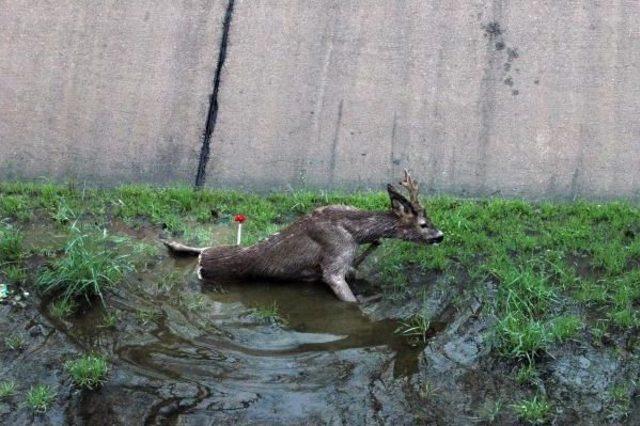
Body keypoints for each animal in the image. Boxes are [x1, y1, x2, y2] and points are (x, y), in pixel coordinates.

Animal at [165, 171, 442, 302]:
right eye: (423, 223)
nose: (440, 236)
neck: (355, 231)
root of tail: (204, 264)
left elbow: (364, 260)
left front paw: (376, 242)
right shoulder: (334, 262)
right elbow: (351, 300)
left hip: (218, 250)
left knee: (205, 247)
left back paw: (172, 242)